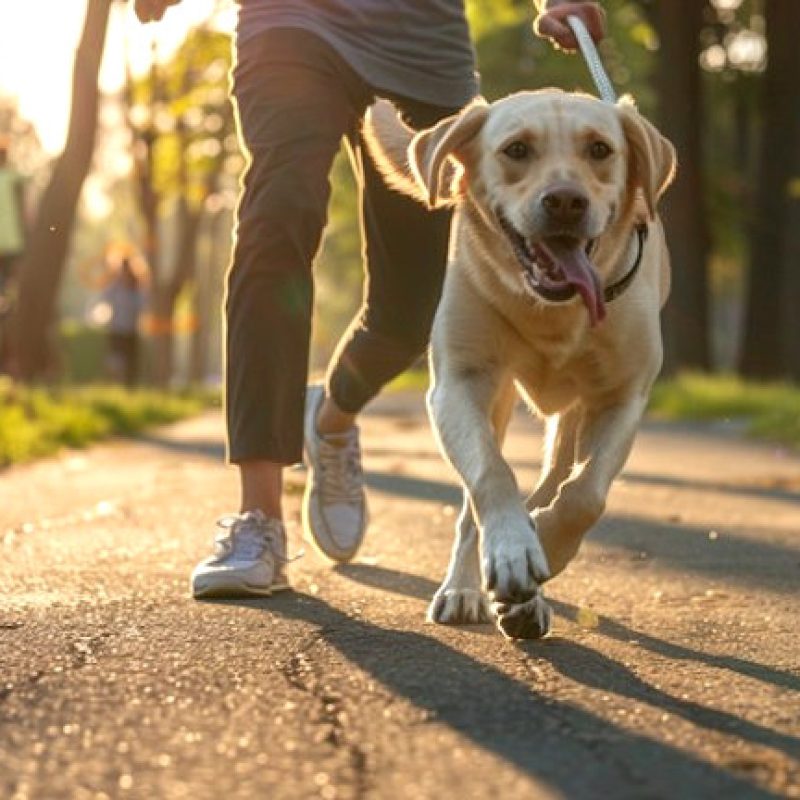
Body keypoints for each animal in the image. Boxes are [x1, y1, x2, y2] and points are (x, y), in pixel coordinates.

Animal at [364, 89, 676, 636]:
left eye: (599, 149)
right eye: (516, 150)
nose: (566, 201)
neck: (551, 311)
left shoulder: (622, 397)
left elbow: (585, 494)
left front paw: (543, 545)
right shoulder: (458, 384)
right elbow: (491, 474)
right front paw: (511, 549)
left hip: (570, 420)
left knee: (556, 478)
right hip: (498, 399)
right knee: (474, 503)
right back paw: (466, 588)